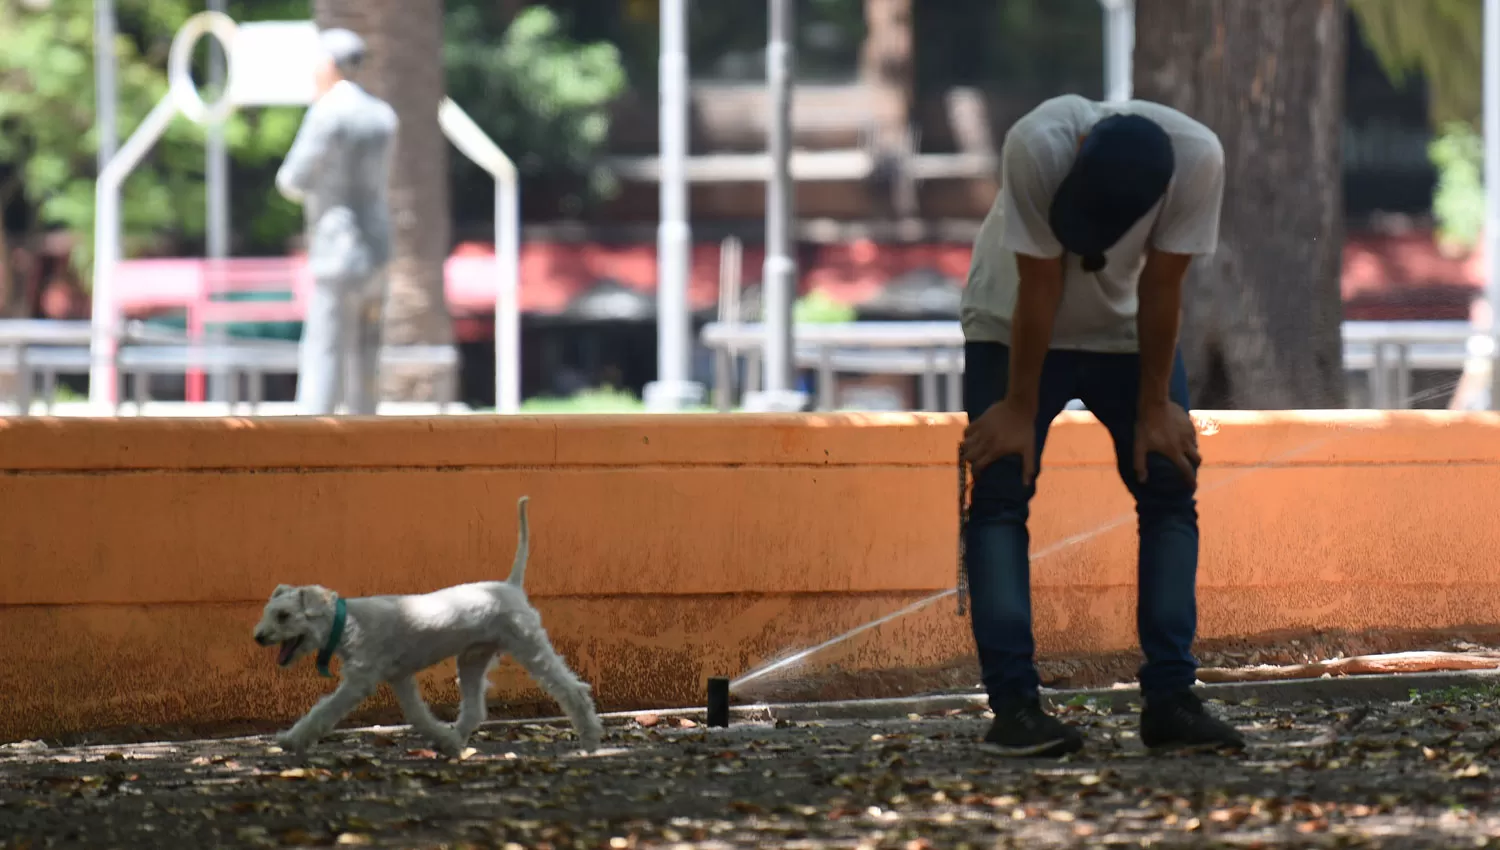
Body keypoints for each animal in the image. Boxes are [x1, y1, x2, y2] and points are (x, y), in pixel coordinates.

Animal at [249, 494, 600, 755]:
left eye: (283, 615)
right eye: (269, 612)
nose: (259, 637)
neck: (347, 622)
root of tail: (510, 586)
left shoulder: (359, 680)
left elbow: (324, 710)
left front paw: (292, 739)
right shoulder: (400, 678)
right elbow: (418, 716)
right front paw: (440, 738)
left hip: (530, 647)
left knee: (572, 689)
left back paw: (591, 738)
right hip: (472, 659)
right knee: (474, 709)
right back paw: (454, 742)